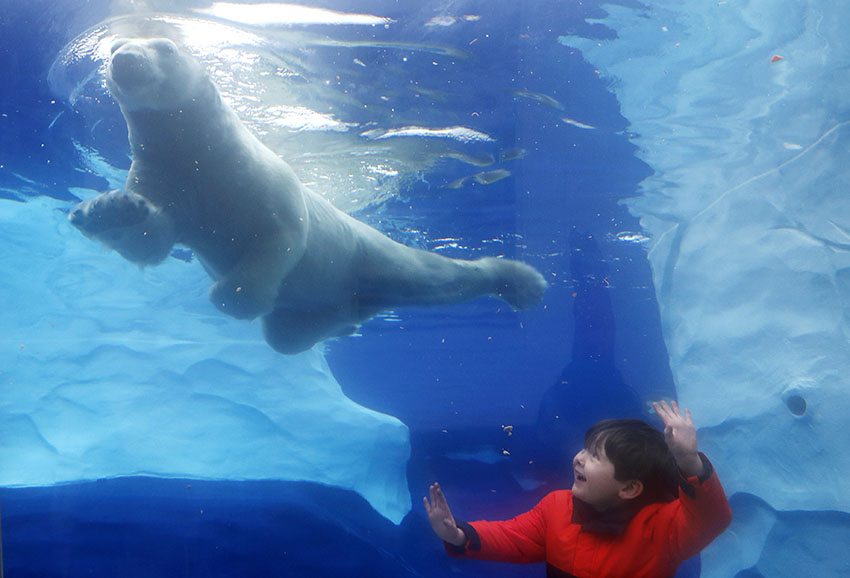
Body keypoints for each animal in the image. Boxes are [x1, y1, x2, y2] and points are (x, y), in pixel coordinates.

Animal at [69, 38, 548, 354]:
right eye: (113, 47)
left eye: (164, 46)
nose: (123, 59)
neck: (204, 154)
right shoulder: (170, 180)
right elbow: (152, 241)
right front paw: (105, 210)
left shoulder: (260, 181)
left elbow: (281, 235)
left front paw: (234, 296)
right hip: (317, 306)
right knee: (287, 335)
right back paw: (341, 326)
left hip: (363, 251)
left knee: (427, 276)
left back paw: (519, 281)